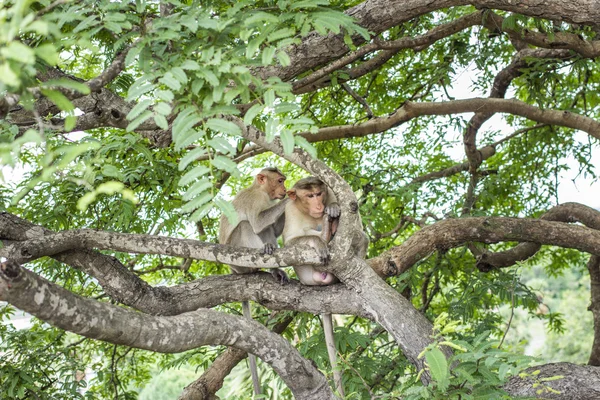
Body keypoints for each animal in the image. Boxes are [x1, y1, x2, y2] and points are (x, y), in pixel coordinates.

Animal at [217, 166, 290, 396]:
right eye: (280, 180)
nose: (284, 188)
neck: (262, 191)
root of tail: (233, 271)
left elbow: (272, 229)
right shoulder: (256, 200)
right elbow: (257, 222)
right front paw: (292, 197)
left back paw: (274, 269)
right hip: (238, 258)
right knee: (247, 226)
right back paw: (265, 255)